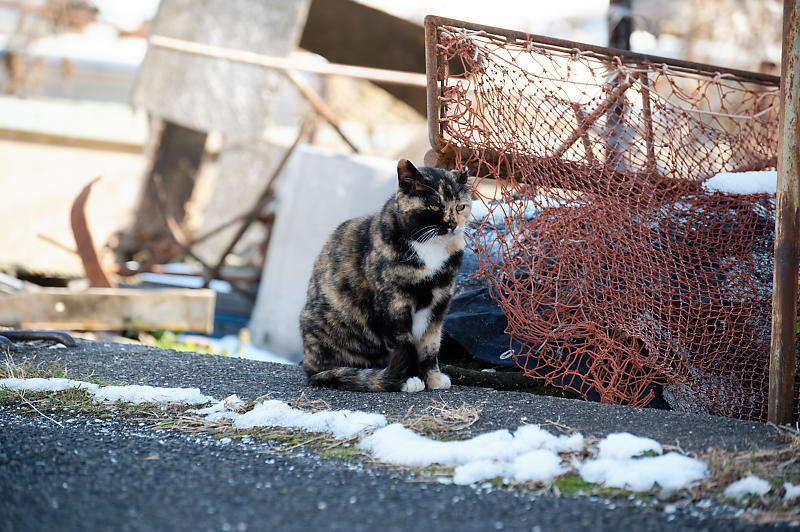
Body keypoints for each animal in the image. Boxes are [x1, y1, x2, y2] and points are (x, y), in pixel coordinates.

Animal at [304, 158, 472, 390]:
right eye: (434, 206)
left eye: (460, 206)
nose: (453, 224)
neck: (430, 250)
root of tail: (308, 367)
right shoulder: (393, 304)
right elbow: (404, 346)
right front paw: (409, 379)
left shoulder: (438, 305)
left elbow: (430, 344)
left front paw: (433, 377)